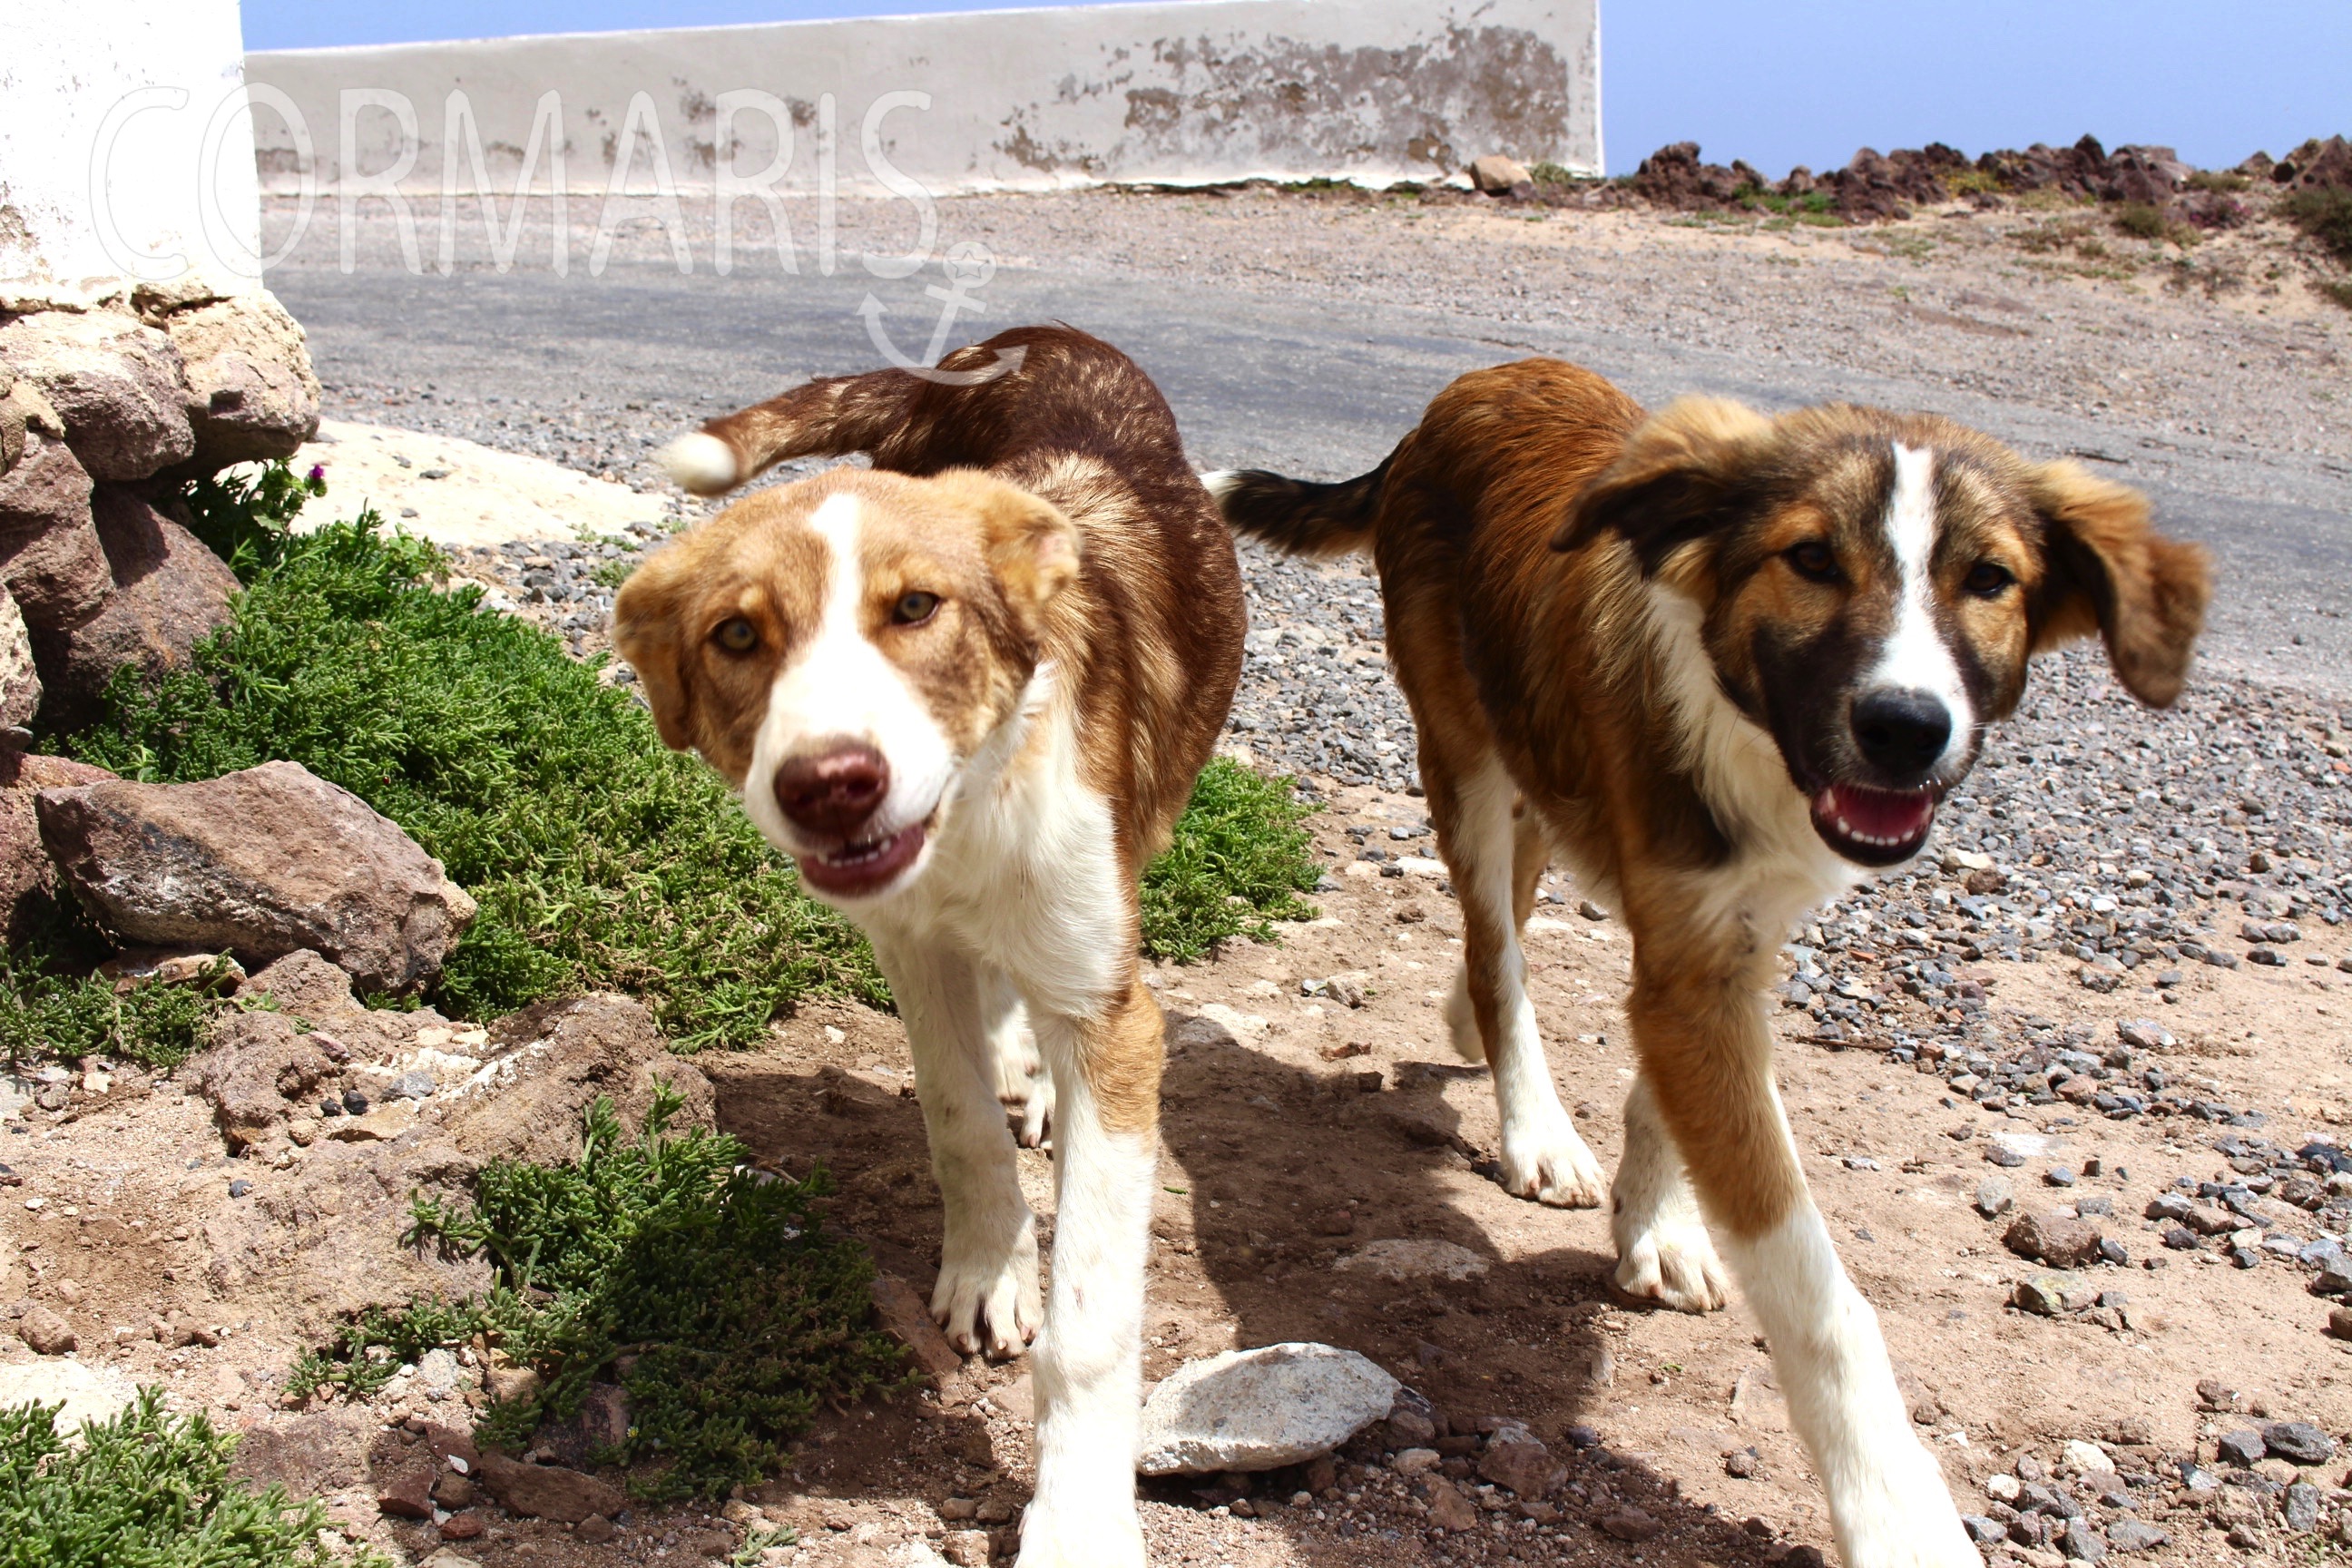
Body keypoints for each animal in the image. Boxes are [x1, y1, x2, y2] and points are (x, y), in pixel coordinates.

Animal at [621, 328, 1250, 1568]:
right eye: (736, 636)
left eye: (917, 608)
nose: (829, 785)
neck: (967, 817)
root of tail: (1020, 342)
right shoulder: (907, 948)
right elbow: (957, 1122)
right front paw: (990, 1268)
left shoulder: (1116, 1022)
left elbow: (1094, 1322)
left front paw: (1080, 1524)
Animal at [1204, 361, 2210, 1561]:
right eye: (1811, 559)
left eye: (1989, 579)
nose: (1905, 726)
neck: (1755, 731)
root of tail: (1469, 389)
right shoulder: (1693, 966)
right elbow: (1815, 1290)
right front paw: (1896, 1511)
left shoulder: (1736, 940)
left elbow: (1667, 1095)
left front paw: (1659, 1225)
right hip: (1464, 748)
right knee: (1498, 943)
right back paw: (1532, 1122)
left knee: (1520, 893)